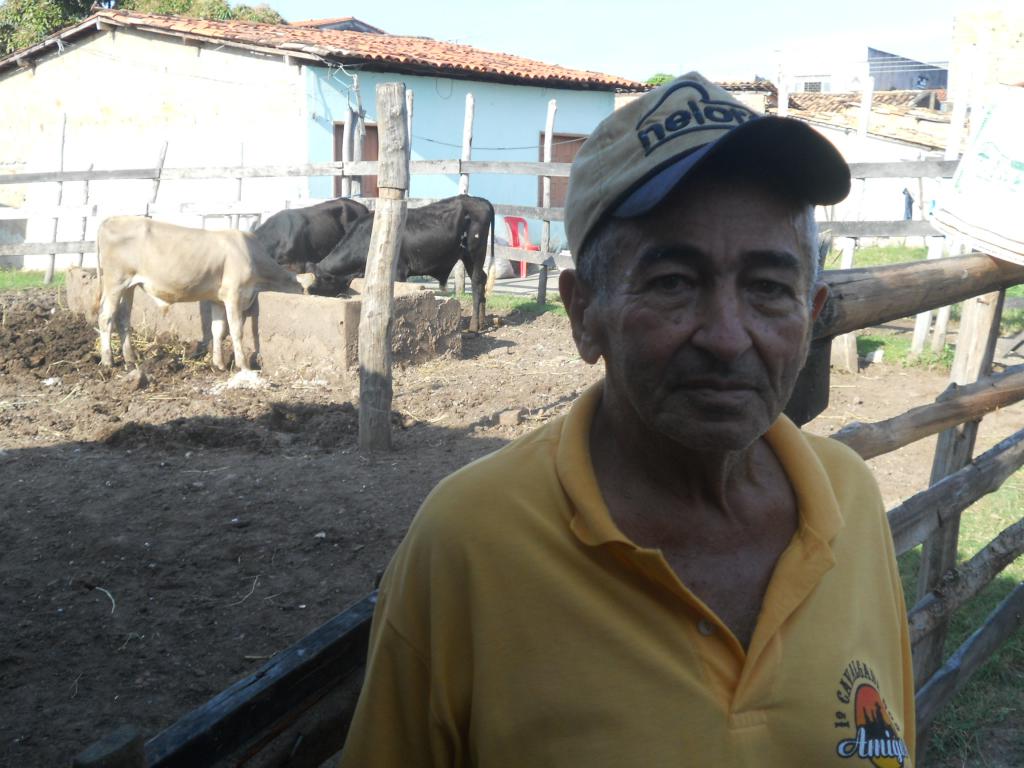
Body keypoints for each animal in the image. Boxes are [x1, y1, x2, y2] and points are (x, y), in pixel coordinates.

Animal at [94, 216, 315, 371]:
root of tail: (113, 219)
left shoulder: (217, 299)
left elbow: (217, 329)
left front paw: (219, 364)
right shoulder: (234, 295)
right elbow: (236, 330)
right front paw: (243, 365)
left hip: (128, 286)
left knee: (123, 318)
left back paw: (130, 358)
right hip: (115, 282)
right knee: (105, 317)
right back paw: (108, 360)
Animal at [312, 195, 495, 333]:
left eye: (319, 282)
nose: (310, 292)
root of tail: (478, 199)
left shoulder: (399, 272)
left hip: (475, 252)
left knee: (477, 282)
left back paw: (473, 327)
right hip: (468, 257)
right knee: (482, 279)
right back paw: (482, 322)